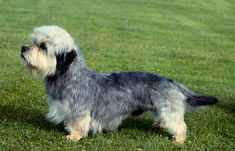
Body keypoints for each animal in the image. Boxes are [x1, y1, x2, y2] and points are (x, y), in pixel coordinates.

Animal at [20, 25, 218, 144]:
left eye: (43, 46)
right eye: (34, 41)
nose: (23, 48)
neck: (70, 77)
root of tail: (171, 82)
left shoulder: (80, 111)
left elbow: (79, 124)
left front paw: (73, 136)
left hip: (168, 109)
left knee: (180, 125)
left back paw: (178, 139)